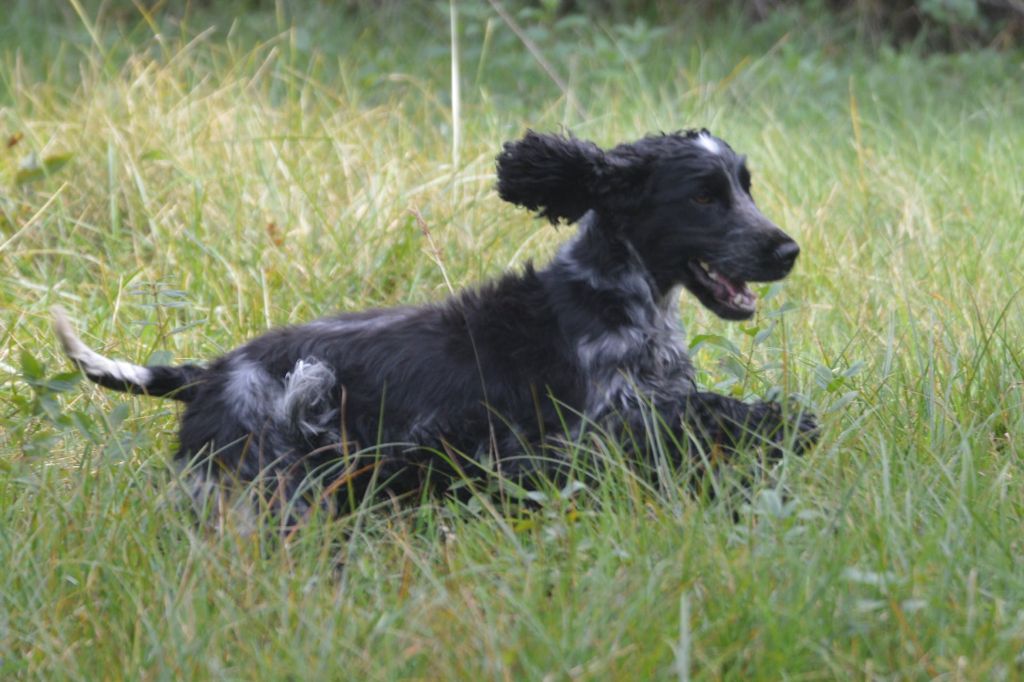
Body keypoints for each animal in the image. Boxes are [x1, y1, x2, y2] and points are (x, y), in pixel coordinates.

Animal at [54, 127, 815, 512]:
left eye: (745, 187)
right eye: (704, 196)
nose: (787, 251)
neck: (616, 292)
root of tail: (211, 371)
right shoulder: (595, 426)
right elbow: (700, 418)